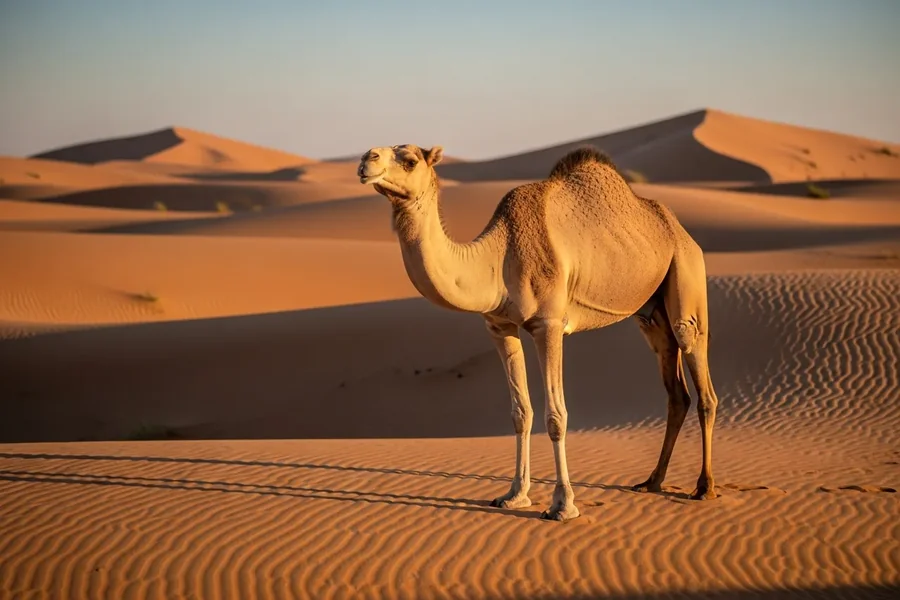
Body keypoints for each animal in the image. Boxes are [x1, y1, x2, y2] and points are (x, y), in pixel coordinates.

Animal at [358, 143, 721, 522]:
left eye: (410, 159)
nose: (367, 159)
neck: (498, 257)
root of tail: (680, 231)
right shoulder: (500, 326)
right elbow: (521, 412)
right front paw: (515, 495)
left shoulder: (549, 324)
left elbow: (556, 416)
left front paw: (563, 505)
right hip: (651, 313)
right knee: (675, 389)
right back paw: (652, 481)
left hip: (686, 274)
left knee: (700, 375)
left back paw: (704, 487)